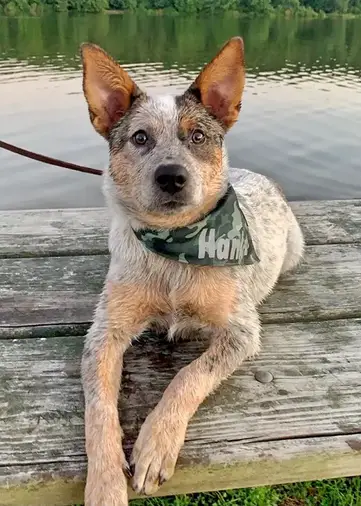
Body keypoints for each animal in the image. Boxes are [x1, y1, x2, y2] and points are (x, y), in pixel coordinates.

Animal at [79, 36, 304, 506]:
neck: (175, 251)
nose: (171, 176)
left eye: (198, 136)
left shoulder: (241, 332)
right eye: (140, 137)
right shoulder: (104, 333)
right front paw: (105, 483)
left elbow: (189, 376)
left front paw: (155, 445)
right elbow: (99, 409)